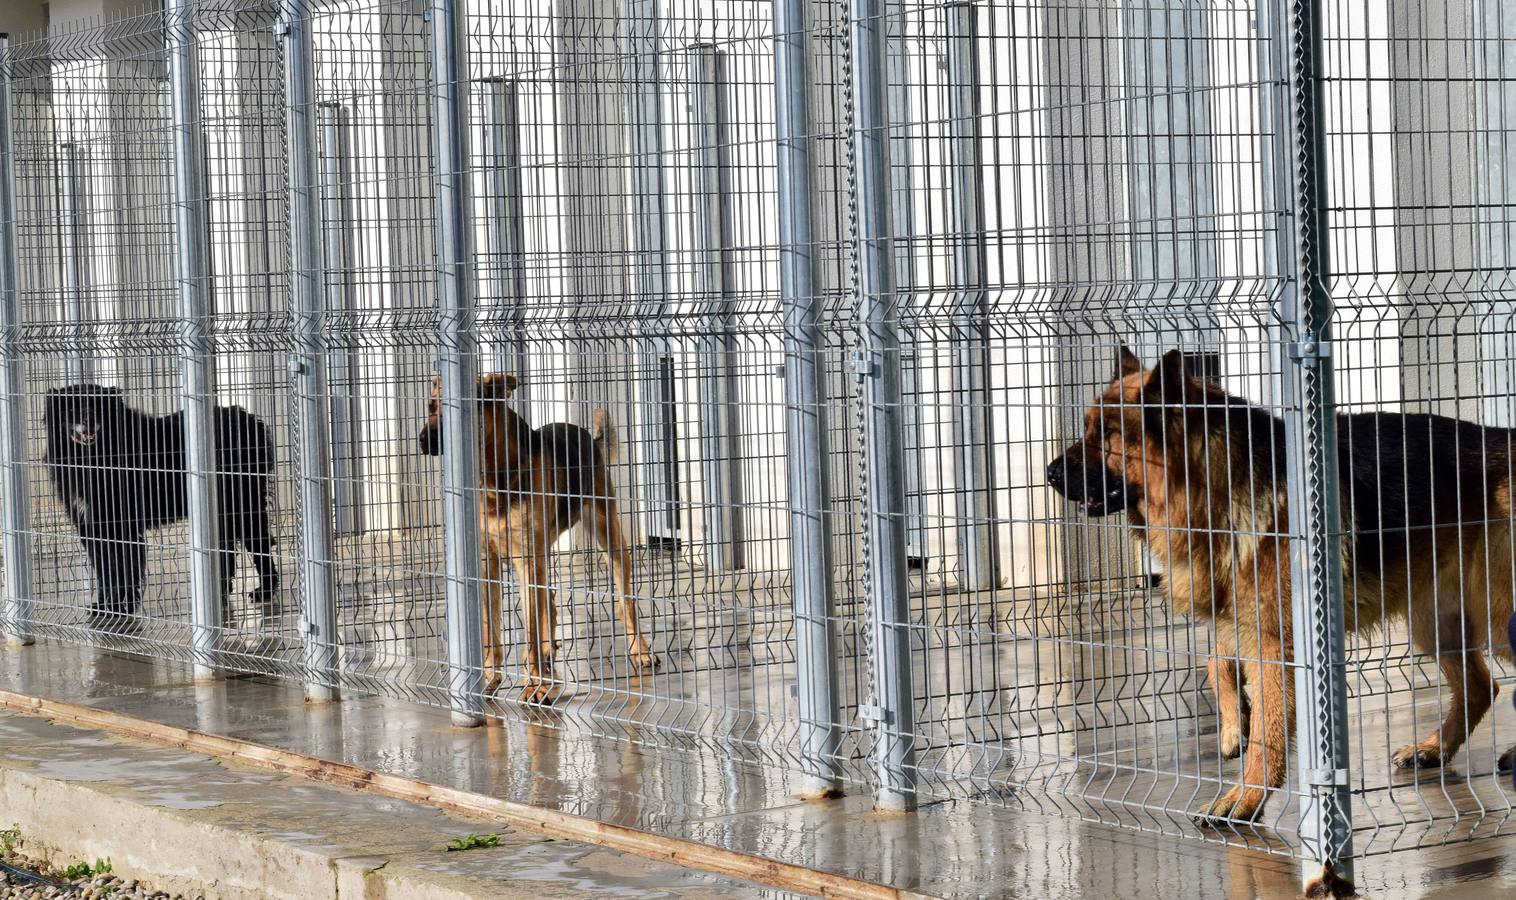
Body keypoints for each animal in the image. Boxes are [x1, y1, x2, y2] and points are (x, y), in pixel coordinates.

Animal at [418, 371, 654, 700]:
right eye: (430, 407)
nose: (422, 440)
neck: (496, 478)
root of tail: (588, 437)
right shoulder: (487, 564)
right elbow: (491, 628)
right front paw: (490, 676)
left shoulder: (527, 560)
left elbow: (530, 628)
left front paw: (536, 686)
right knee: (549, 601)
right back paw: (547, 651)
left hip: (608, 539)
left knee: (625, 602)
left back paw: (639, 650)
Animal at [1043, 346, 1516, 824]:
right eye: (1088, 427)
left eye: (1109, 434)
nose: (1049, 473)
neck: (1213, 487)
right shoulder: (1244, 621)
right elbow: (1216, 661)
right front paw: (1234, 727)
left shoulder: (1275, 643)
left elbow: (1267, 731)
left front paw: (1244, 798)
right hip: (1434, 621)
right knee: (1482, 687)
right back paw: (1433, 749)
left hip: (1497, 614)